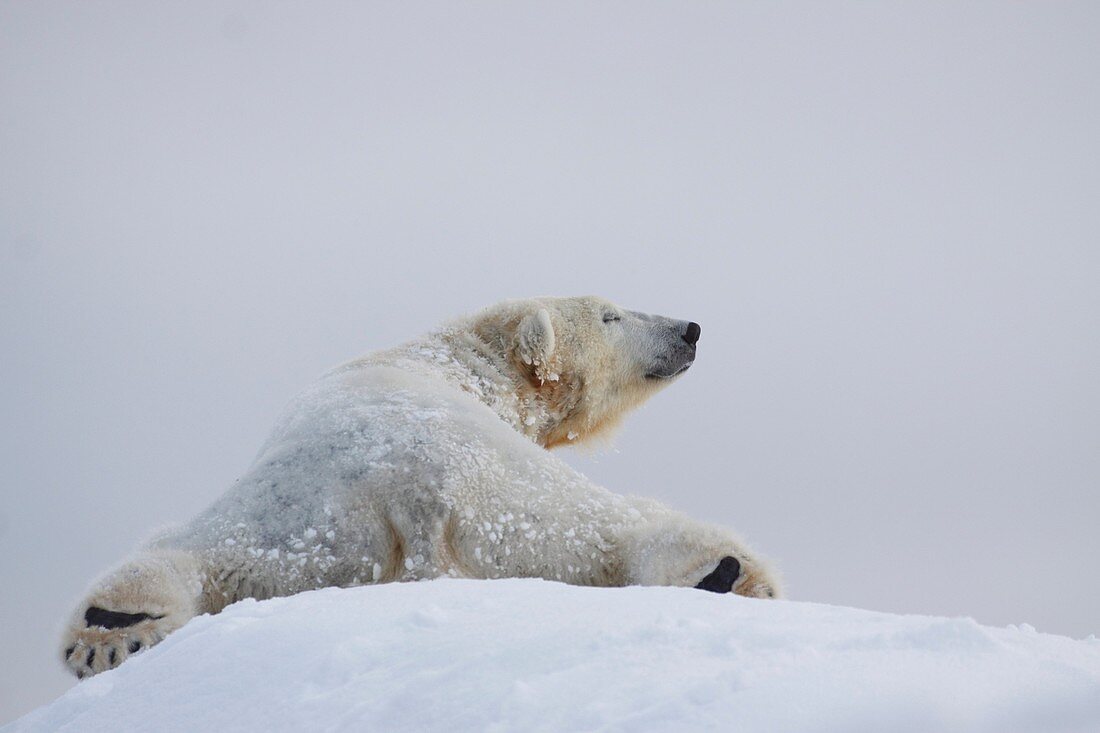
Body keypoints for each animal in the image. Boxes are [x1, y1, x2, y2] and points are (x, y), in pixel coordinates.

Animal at [62, 294, 783, 677]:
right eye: (610, 315)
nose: (688, 328)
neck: (453, 362)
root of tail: (412, 497)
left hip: (298, 535)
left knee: (180, 557)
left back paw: (113, 629)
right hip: (509, 498)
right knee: (622, 524)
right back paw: (728, 571)